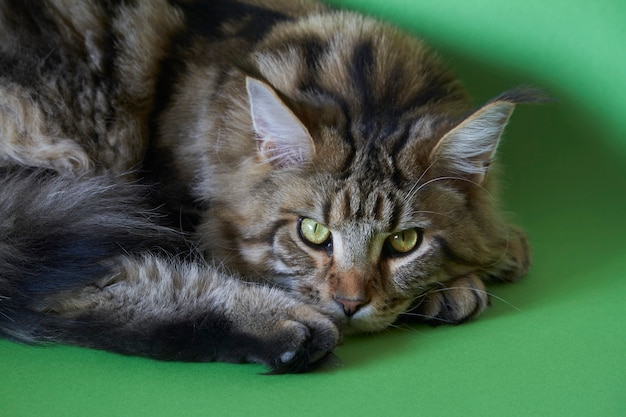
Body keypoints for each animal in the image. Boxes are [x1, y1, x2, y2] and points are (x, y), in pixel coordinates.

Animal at [0, 0, 532, 370]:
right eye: (313, 233)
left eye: (404, 241)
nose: (350, 304)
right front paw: (464, 283)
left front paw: (499, 252)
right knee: (60, 295)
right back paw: (284, 328)